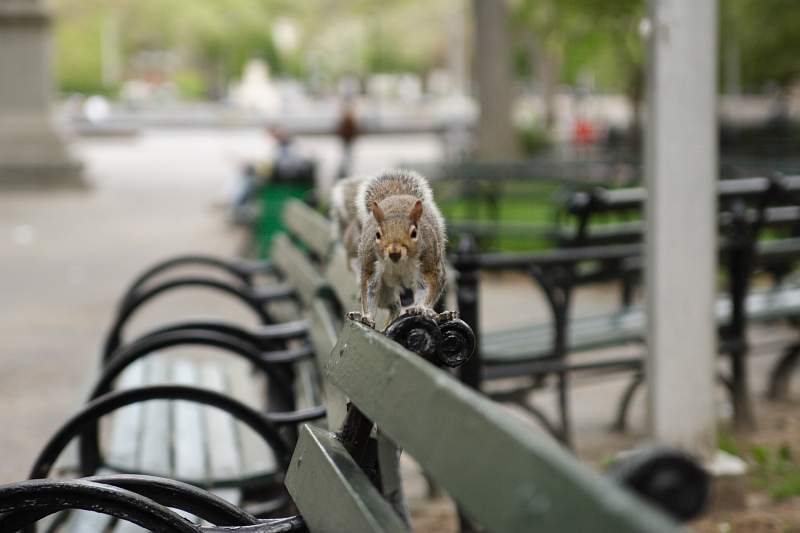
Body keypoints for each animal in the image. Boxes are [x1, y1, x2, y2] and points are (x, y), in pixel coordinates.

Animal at [354, 168, 446, 326]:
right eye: (377, 234)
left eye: (414, 233)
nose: (394, 252)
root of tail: (397, 196)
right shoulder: (371, 265)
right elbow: (370, 292)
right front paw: (368, 317)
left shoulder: (426, 264)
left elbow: (426, 287)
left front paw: (420, 308)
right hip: (386, 290)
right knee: (394, 305)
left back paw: (431, 312)